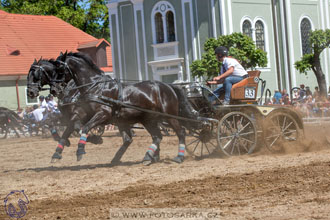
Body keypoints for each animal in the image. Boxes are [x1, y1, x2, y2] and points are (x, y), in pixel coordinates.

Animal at [52, 52, 197, 165]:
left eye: (59, 69)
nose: (54, 90)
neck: (95, 87)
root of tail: (169, 86)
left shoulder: (103, 113)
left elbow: (85, 127)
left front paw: (80, 150)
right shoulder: (82, 113)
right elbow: (73, 127)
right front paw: (58, 152)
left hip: (170, 117)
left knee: (180, 132)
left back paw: (179, 157)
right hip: (148, 120)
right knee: (157, 136)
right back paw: (148, 157)